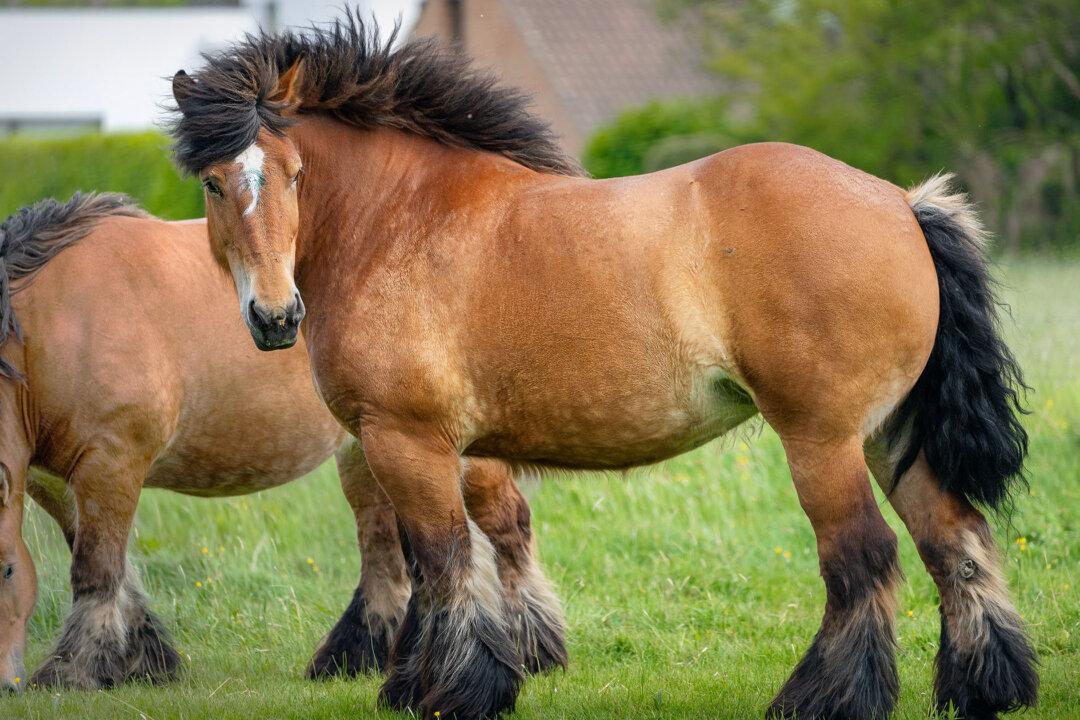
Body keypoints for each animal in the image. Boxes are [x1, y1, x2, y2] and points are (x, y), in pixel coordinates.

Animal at [0, 193, 564, 692]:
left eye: (5, 570)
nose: (8, 684)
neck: (57, 322)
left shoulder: (111, 463)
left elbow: (95, 571)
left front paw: (74, 672)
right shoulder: (55, 480)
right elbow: (112, 569)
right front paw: (143, 659)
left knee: (506, 525)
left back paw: (535, 648)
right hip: (370, 453)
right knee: (385, 549)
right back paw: (358, 656)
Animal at [168, 17, 1037, 720]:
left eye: (292, 175)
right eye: (214, 183)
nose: (275, 318)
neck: (398, 221)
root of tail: (900, 203)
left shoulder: (405, 441)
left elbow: (442, 561)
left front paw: (457, 690)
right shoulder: (439, 450)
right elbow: (443, 560)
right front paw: (420, 684)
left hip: (822, 442)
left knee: (863, 559)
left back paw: (826, 698)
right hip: (891, 436)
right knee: (953, 539)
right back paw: (984, 687)